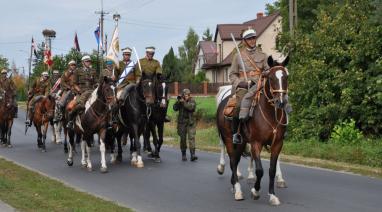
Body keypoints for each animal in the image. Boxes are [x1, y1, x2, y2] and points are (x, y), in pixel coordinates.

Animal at [216, 55, 288, 205]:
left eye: (286, 77)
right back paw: (237, 189)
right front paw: (255, 191)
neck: (270, 114)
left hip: (241, 142)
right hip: (228, 139)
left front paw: (272, 195)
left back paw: (234, 184)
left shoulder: (277, 143)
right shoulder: (256, 143)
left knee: (236, 159)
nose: (281, 102)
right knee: (232, 160)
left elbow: (272, 169)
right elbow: (260, 170)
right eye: (271, 78)